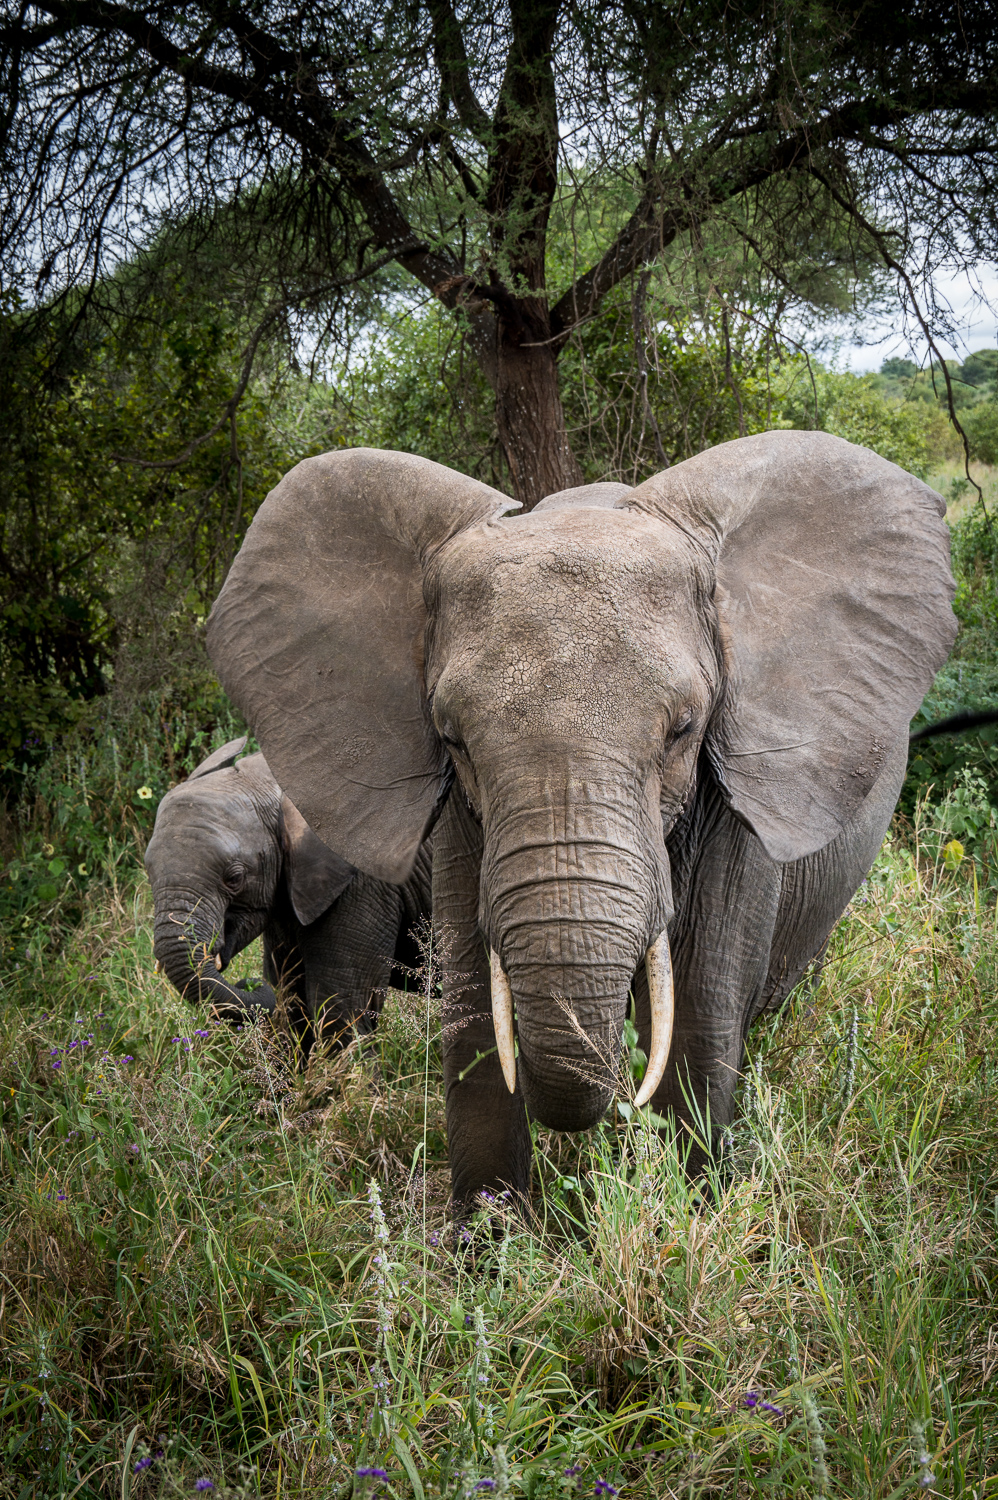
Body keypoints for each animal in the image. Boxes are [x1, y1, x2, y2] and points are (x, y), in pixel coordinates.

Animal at [144, 735, 432, 1056]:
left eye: (234, 878)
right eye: (148, 872)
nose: (249, 983)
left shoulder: (365, 885)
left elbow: (340, 1007)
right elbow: (292, 995)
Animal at [204, 435, 960, 1206]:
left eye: (683, 730)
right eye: (452, 740)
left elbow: (699, 1006)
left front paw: (687, 1214)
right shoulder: (460, 820)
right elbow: (477, 1010)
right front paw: (493, 1236)